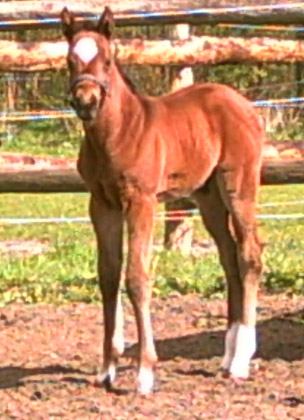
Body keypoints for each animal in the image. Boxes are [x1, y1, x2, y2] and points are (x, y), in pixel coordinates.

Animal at [61, 5, 264, 394]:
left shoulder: (142, 202)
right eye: (69, 61)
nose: (86, 102)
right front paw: (107, 370)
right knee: (229, 257)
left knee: (249, 253)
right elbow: (108, 275)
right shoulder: (102, 205)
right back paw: (227, 357)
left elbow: (137, 278)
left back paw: (241, 362)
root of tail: (244, 104)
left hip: (239, 184)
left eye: (107, 60)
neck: (119, 132)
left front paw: (144, 373)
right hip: (208, 196)